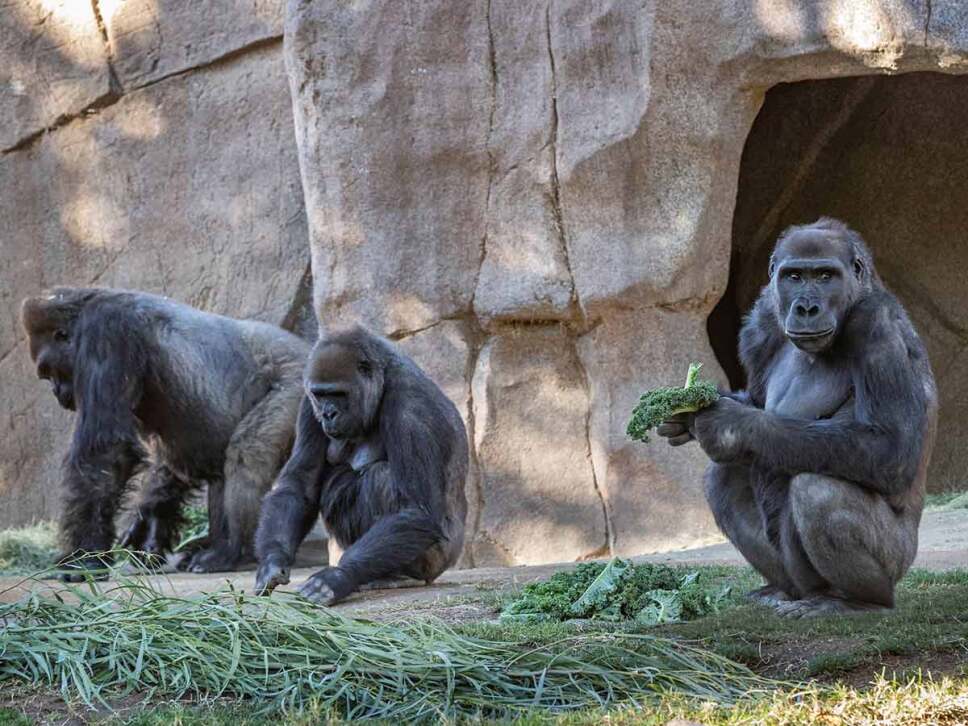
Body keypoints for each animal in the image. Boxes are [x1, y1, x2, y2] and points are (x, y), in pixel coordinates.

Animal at [21, 290, 310, 580]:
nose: (57, 392)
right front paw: (150, 517)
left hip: (297, 384)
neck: (84, 310)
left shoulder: (106, 330)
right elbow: (179, 456)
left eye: (50, 370)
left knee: (246, 454)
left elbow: (106, 452)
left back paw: (230, 549)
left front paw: (84, 556)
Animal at [253, 328, 468, 604]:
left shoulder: (411, 408)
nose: (328, 414)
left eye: (338, 394)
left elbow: (417, 510)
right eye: (321, 395)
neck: (383, 380)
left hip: (437, 561)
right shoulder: (308, 405)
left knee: (381, 478)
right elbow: (299, 485)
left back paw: (398, 575)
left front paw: (338, 576)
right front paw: (272, 562)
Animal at [656, 218, 936, 620]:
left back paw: (858, 601)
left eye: (825, 275)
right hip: (795, 578)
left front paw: (729, 425)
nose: (805, 307)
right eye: (794, 276)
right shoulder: (762, 323)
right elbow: (756, 401)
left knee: (818, 490)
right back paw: (780, 590)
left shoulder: (877, 323)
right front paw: (687, 415)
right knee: (725, 477)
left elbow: (889, 445)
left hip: (900, 560)